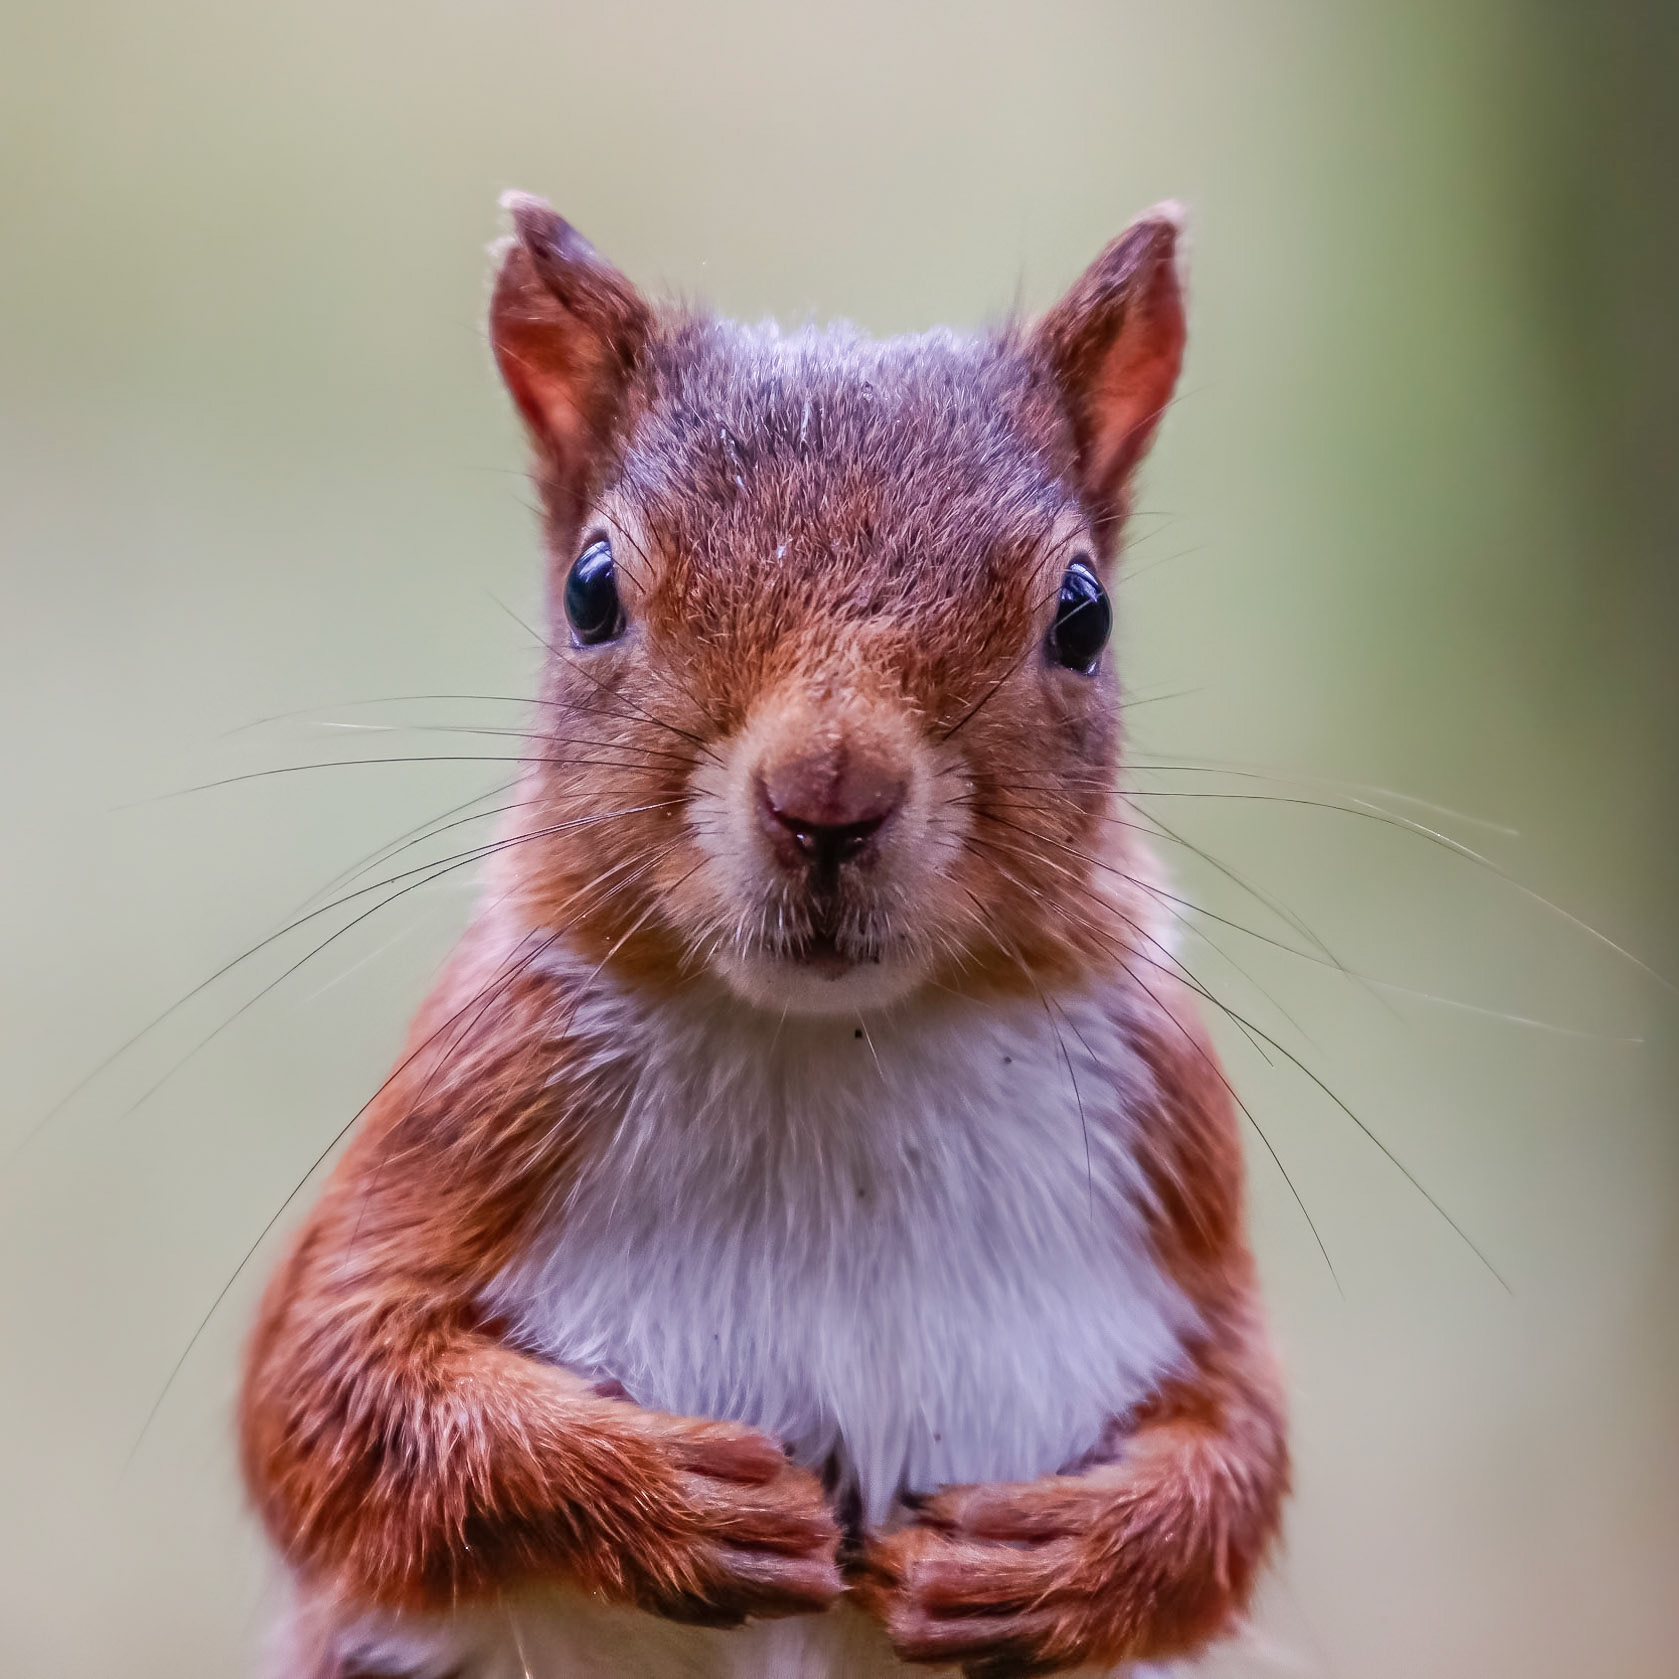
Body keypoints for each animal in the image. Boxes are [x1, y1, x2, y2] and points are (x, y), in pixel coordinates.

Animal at [238, 191, 1289, 1679]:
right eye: (591, 589)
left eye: (1081, 614)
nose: (827, 792)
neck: (834, 1041)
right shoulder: (463, 1114)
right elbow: (321, 1394)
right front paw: (668, 1496)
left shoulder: (1174, 1154)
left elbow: (1240, 1445)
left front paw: (1052, 1560)